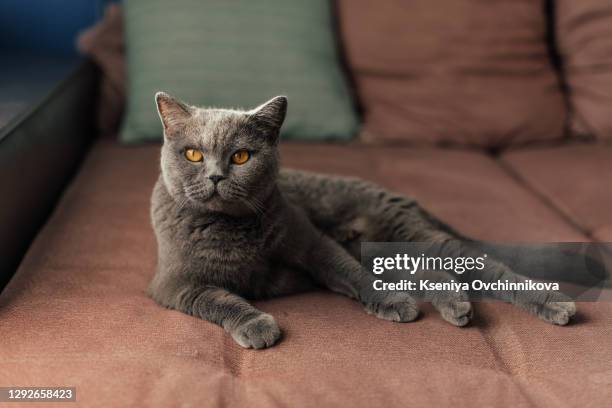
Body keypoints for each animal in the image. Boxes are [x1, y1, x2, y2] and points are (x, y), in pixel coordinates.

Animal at [148, 94, 572, 350]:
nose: (216, 176)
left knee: (486, 267)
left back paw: (555, 305)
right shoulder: (174, 284)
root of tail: (402, 197)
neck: (232, 229)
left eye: (240, 157)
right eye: (193, 154)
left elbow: (350, 273)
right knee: (431, 274)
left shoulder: (313, 242)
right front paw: (257, 325)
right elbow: (218, 299)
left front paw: (390, 302)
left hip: (408, 233)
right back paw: (457, 306)